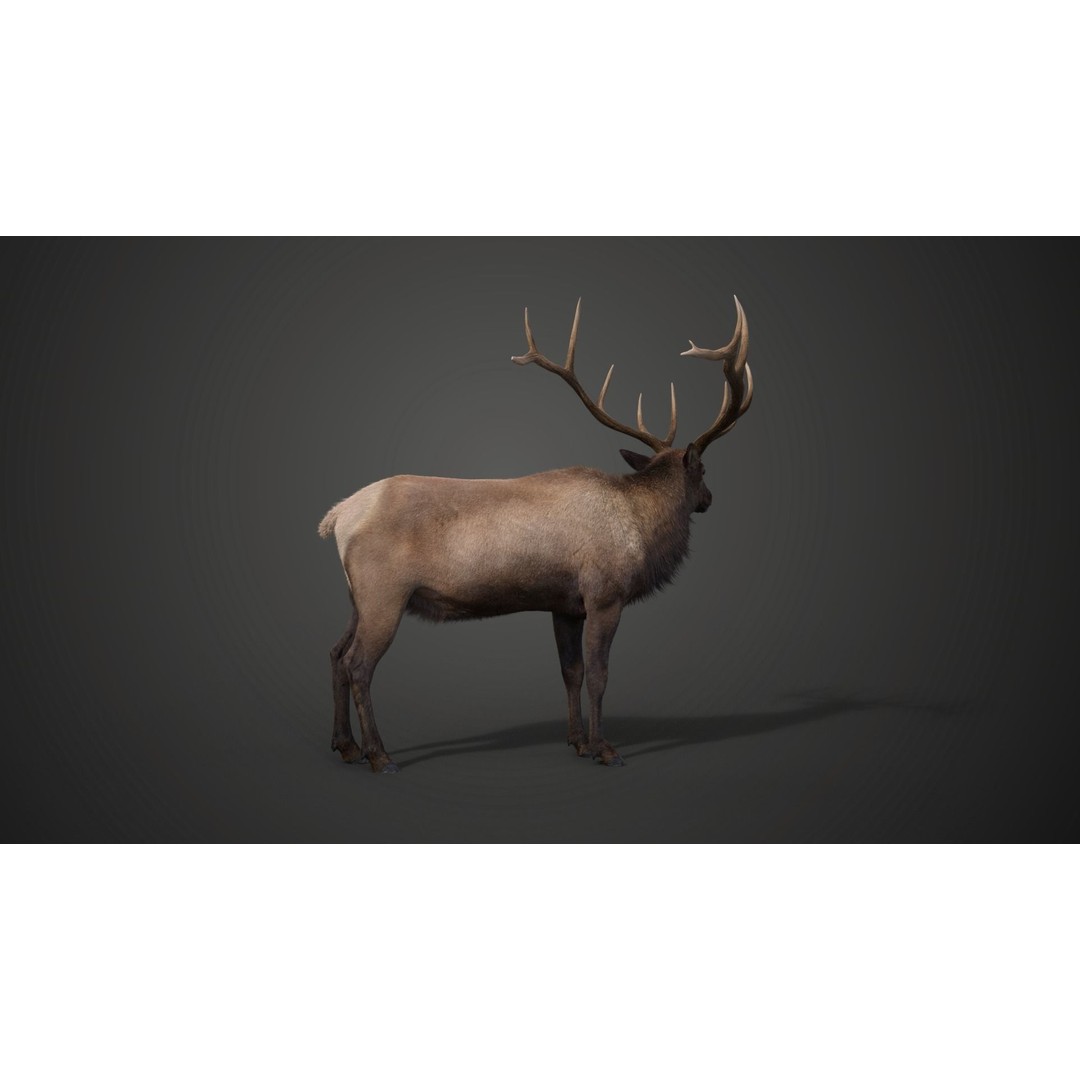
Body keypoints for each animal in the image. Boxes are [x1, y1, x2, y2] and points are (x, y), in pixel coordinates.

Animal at [318, 296, 754, 772]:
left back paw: (346, 746)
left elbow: (571, 672)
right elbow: (598, 674)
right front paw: (604, 748)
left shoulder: (564, 605)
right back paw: (380, 756)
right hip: (384, 594)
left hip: (357, 598)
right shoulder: (604, 595)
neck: (641, 529)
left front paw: (577, 741)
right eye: (702, 471)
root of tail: (338, 516)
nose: (709, 498)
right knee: (359, 664)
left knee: (336, 654)